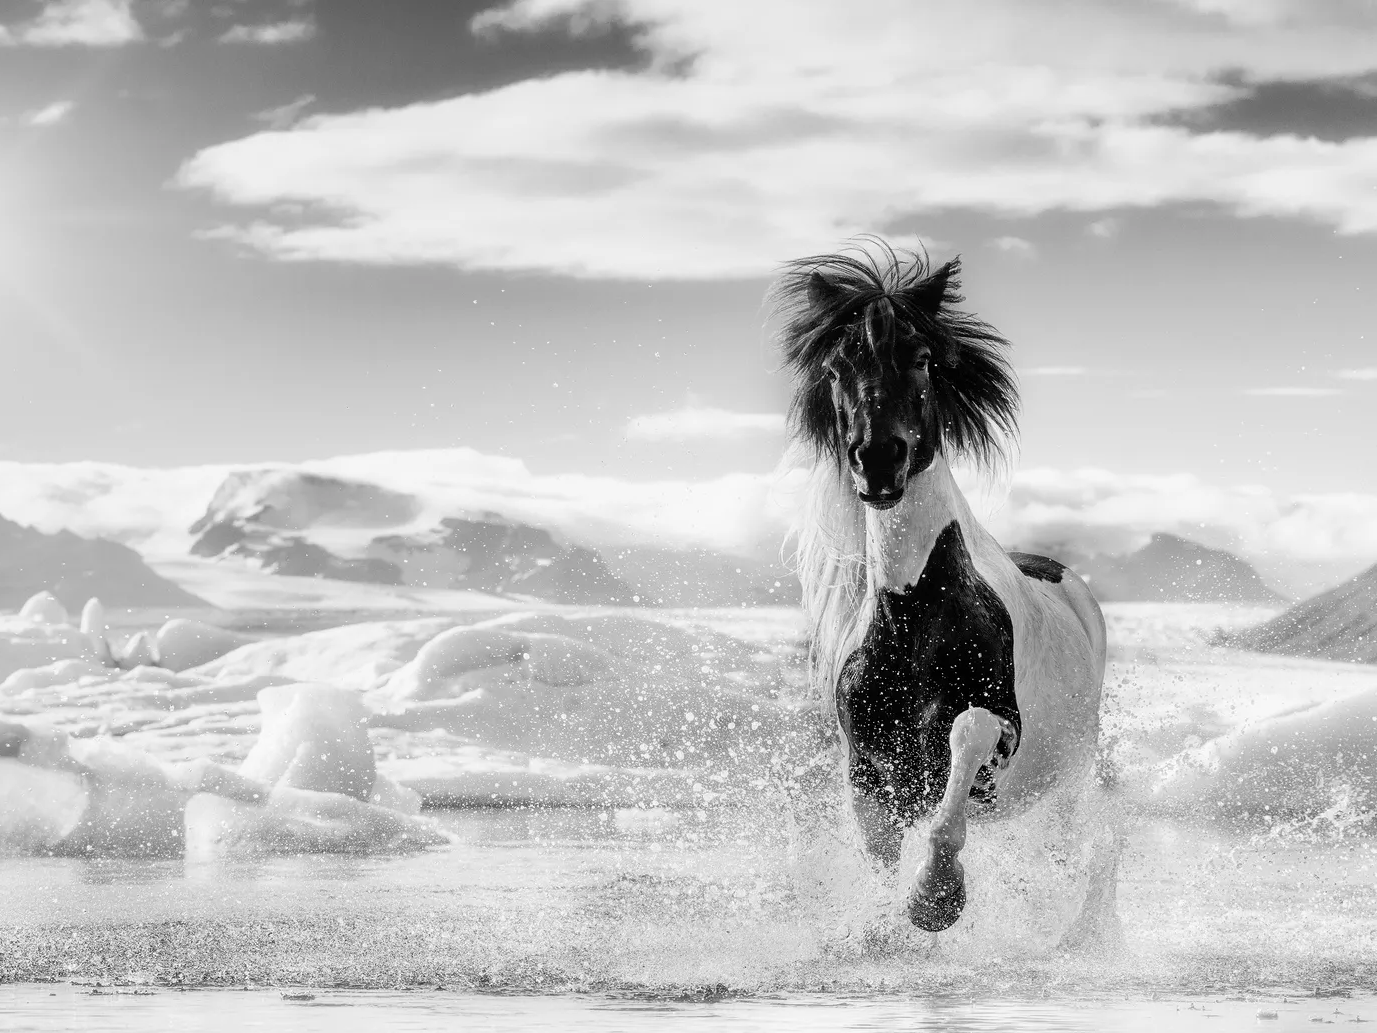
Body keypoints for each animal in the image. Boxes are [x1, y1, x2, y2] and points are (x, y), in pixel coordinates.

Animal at [772, 241, 1107, 932]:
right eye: (837, 367)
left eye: (923, 358)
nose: (878, 460)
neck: (911, 613)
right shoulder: (868, 772)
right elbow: (876, 858)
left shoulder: (999, 728)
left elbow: (966, 736)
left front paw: (936, 895)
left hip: (1070, 781)